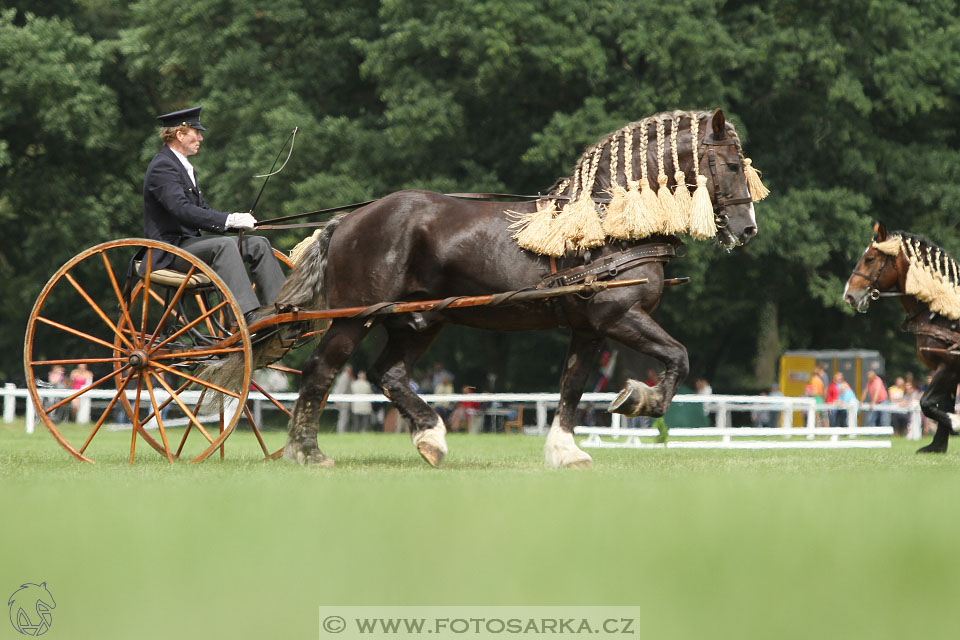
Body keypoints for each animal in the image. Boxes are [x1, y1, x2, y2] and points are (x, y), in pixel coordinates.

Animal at [266, 110, 760, 468]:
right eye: (732, 165)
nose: (747, 229)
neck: (612, 222)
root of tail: (349, 219)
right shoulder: (619, 315)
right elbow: (678, 356)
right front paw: (641, 399)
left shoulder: (589, 328)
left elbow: (572, 386)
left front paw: (564, 450)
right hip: (357, 316)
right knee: (321, 371)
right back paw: (307, 451)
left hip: (420, 320)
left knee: (388, 374)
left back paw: (431, 437)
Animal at [844, 222, 956, 452]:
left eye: (870, 259)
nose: (849, 295)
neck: (941, 313)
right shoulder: (948, 369)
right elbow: (941, 404)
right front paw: (937, 445)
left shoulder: (948, 365)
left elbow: (926, 403)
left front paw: (954, 425)